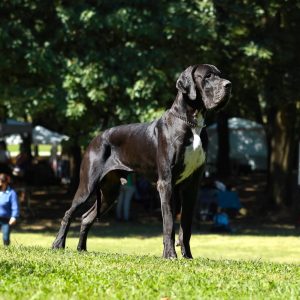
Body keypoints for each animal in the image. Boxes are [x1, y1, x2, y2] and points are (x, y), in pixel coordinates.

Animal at [51, 64, 231, 258]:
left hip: (110, 192)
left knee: (86, 218)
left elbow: (186, 226)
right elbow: (169, 224)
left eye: (220, 75)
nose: (229, 85)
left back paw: (82, 249)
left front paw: (188, 257)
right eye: (208, 76)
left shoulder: (192, 185)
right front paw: (170, 255)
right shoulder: (166, 183)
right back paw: (58, 244)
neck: (191, 123)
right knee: (69, 213)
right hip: (88, 185)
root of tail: (95, 139)